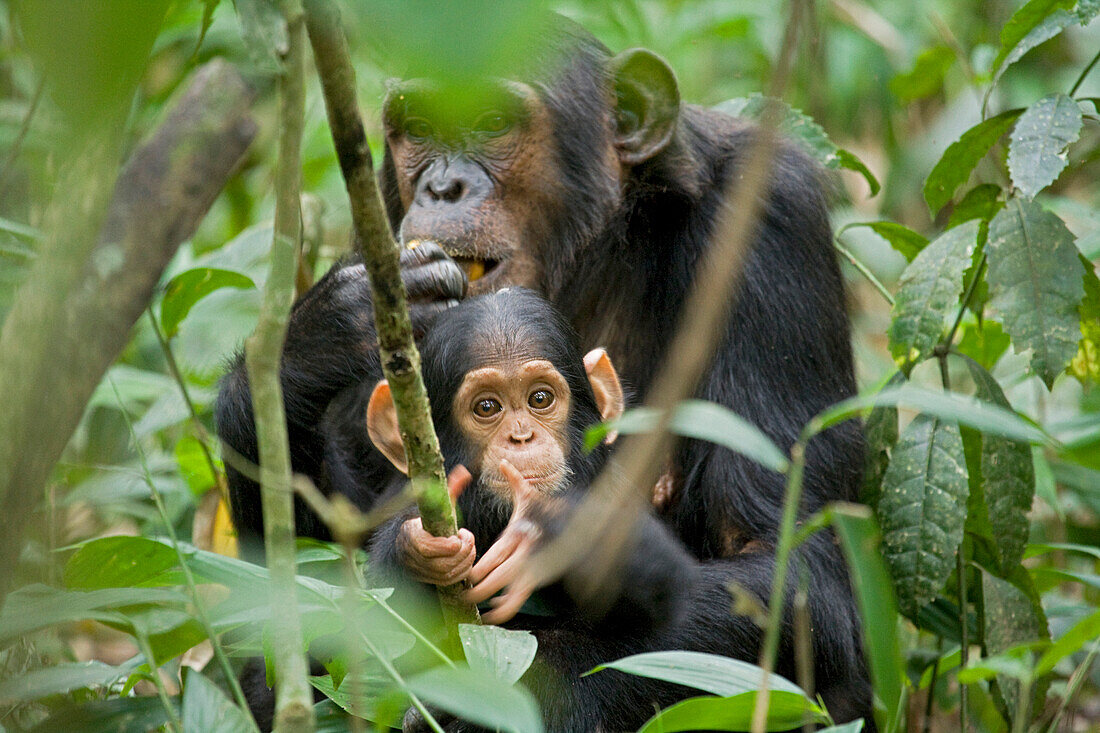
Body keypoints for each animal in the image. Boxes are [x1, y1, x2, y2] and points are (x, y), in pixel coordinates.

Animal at [212, 9, 866, 726]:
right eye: (419, 129)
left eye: (492, 120)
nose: (442, 186)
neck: (599, 252)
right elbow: (291, 591)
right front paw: (327, 330)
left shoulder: (771, 225)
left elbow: (795, 571)